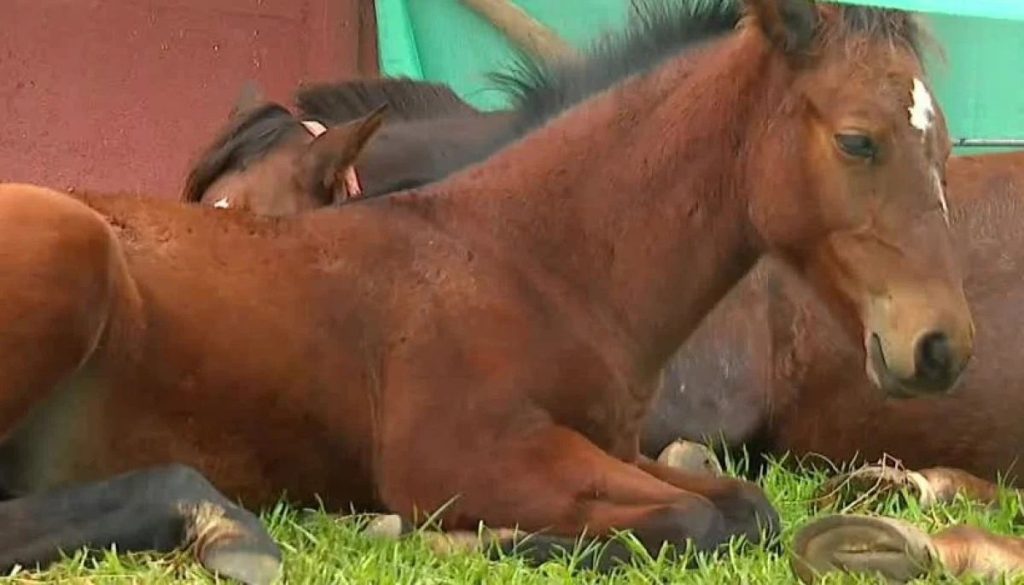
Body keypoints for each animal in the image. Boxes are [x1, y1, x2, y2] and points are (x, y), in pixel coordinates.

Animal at [0, 1, 970, 583]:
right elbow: (699, 520)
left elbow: (747, 506)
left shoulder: (608, 444)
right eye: (858, 140)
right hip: (76, 254)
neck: (529, 261)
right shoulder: (472, 459)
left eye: (947, 147)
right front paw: (478, 537)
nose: (942, 347)